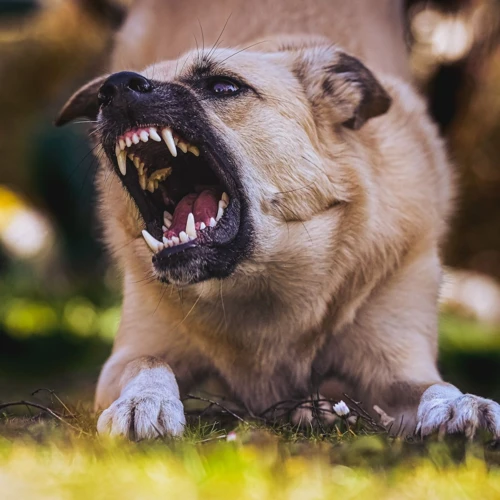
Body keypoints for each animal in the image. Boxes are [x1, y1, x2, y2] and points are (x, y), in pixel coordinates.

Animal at [55, 3, 500, 442]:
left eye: (223, 86)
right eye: (105, 95)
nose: (113, 89)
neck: (260, 282)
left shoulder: (398, 365)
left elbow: (433, 385)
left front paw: (462, 404)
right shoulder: (128, 355)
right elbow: (147, 362)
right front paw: (143, 400)